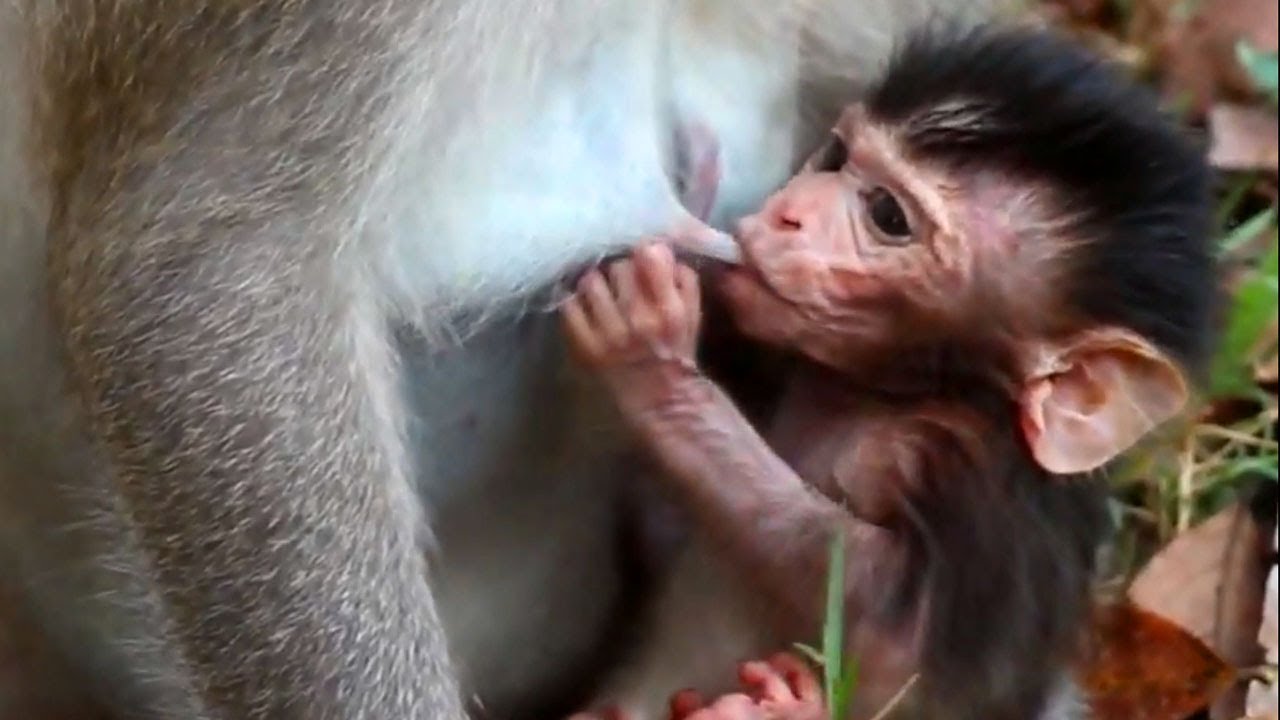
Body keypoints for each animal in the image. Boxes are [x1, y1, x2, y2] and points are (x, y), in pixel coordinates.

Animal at [559, 25, 1218, 720]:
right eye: (836, 156)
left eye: (887, 215)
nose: (789, 212)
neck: (882, 395)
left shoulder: (973, 480)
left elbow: (900, 650)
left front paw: (652, 360)